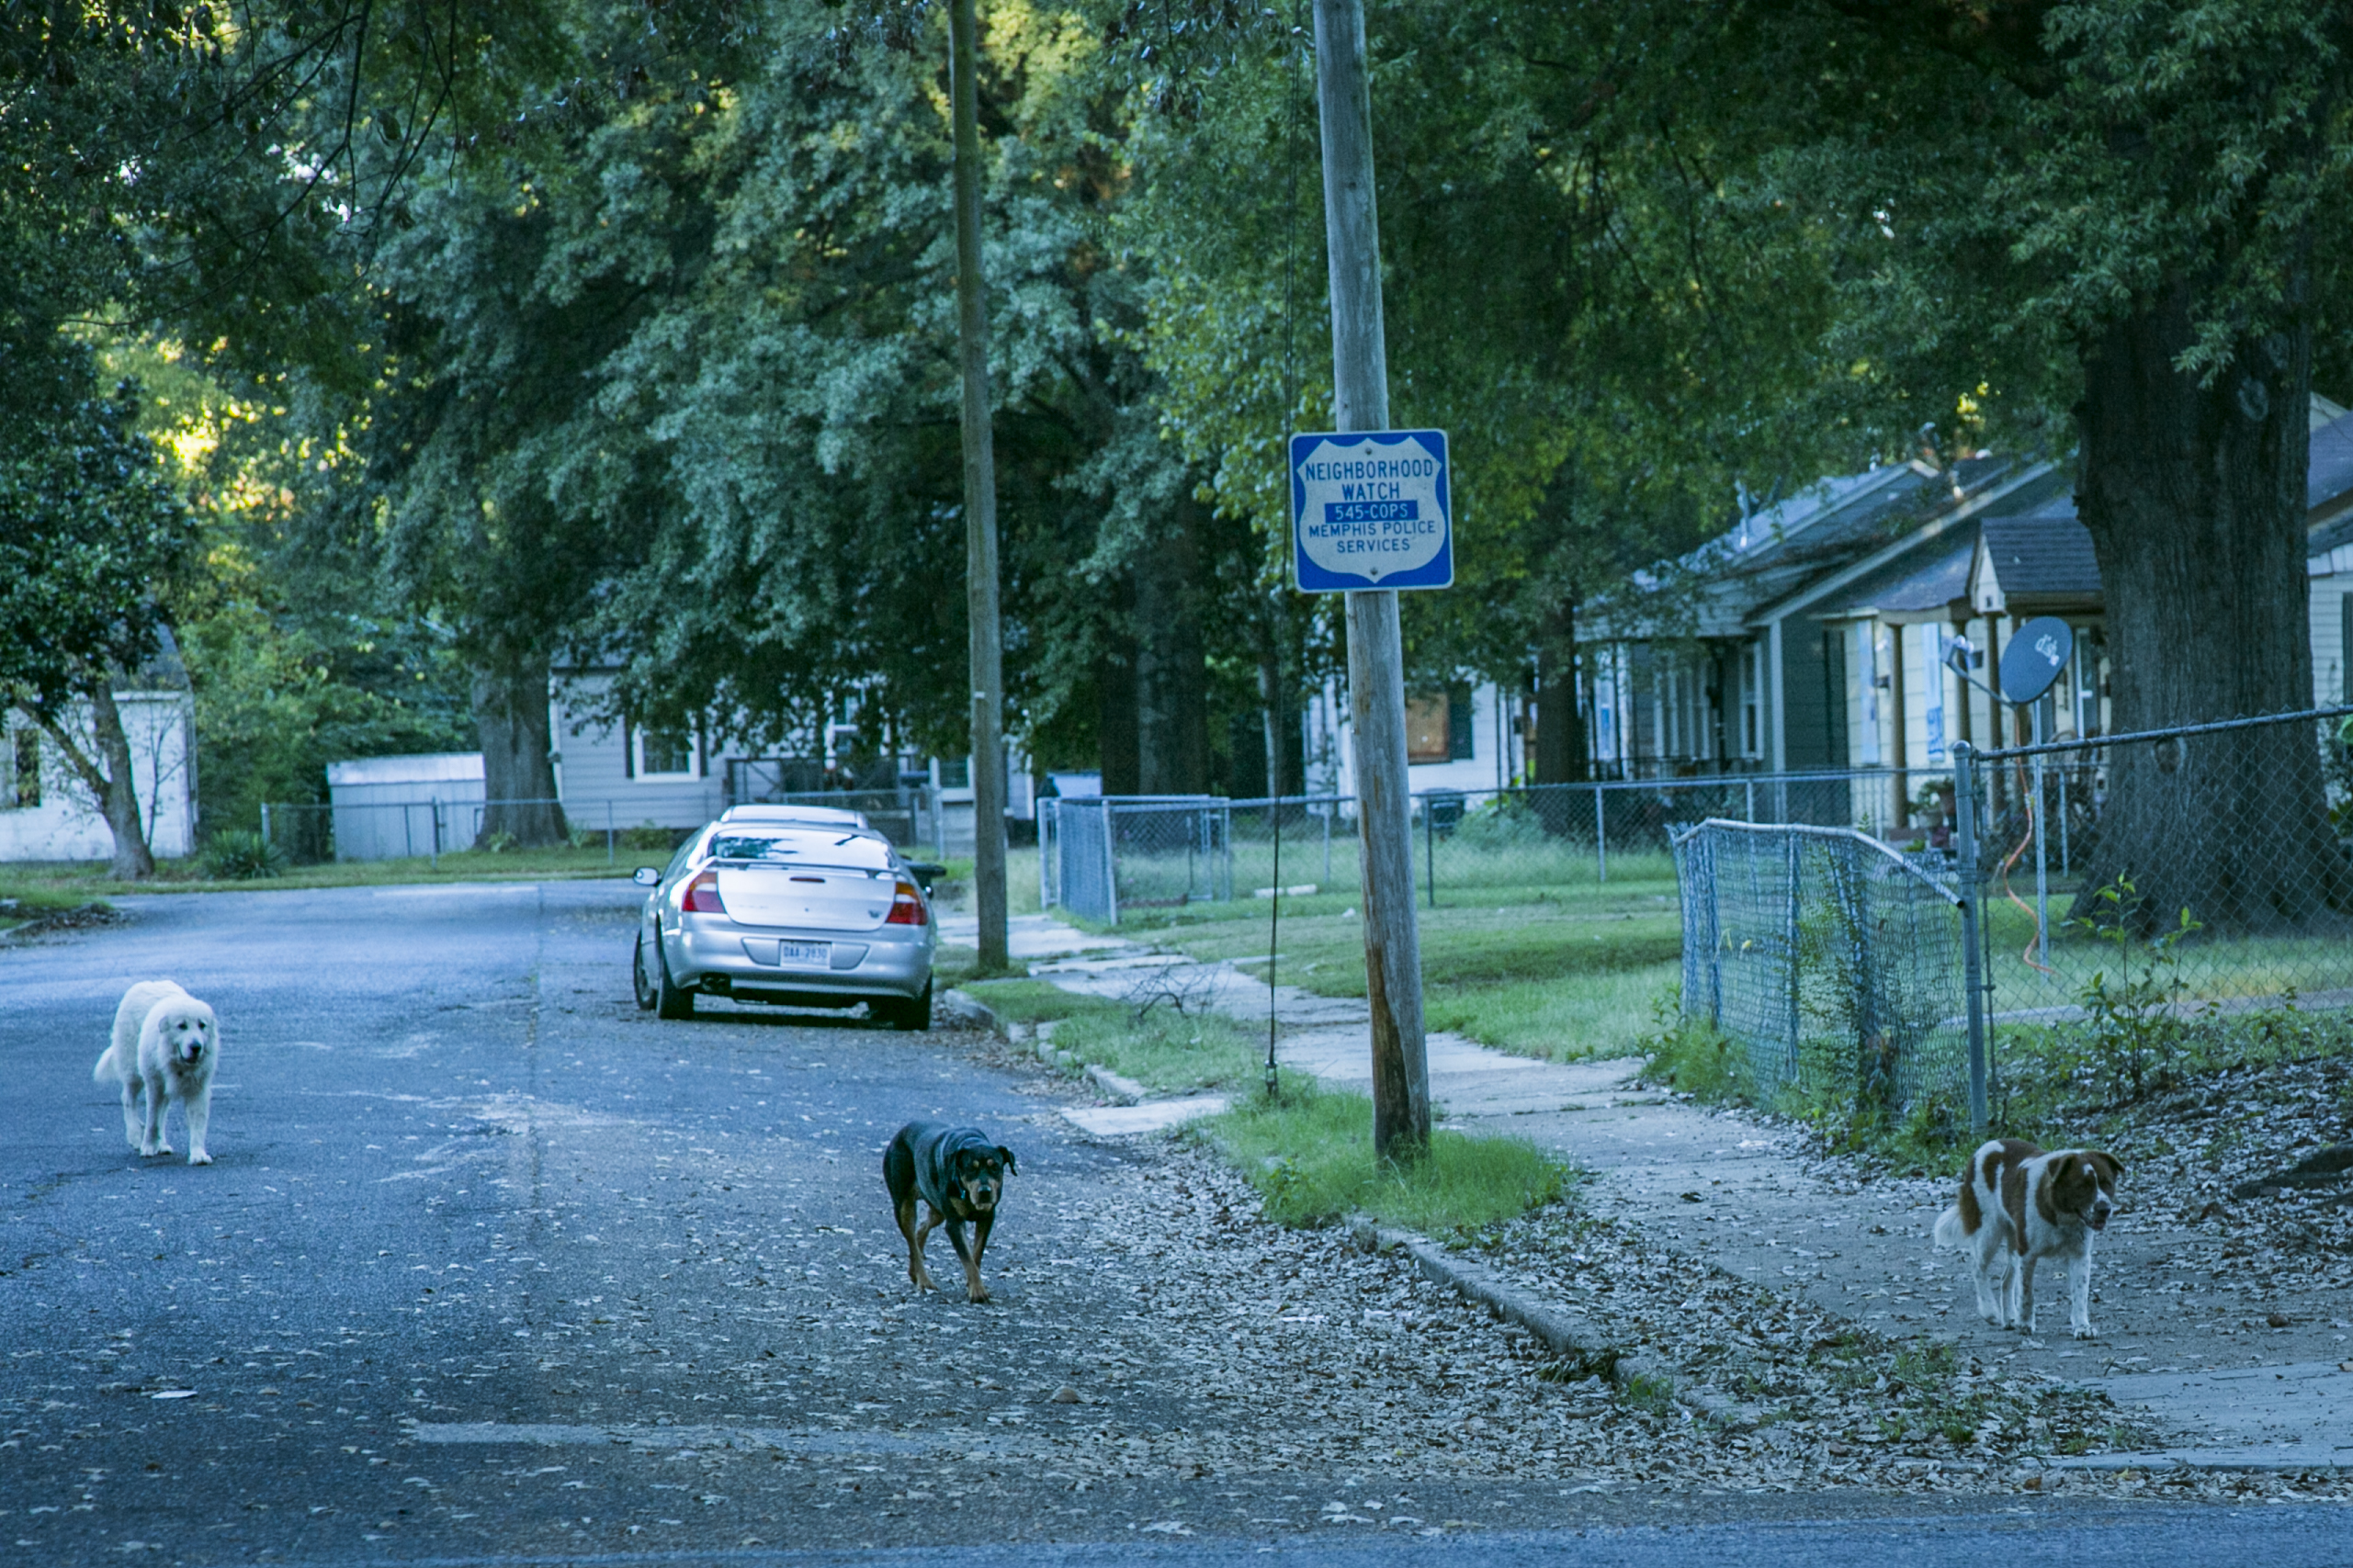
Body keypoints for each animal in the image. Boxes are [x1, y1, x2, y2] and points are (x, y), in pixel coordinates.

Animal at [95, 982, 221, 1166]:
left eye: (201, 1025)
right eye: (182, 1026)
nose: (196, 1047)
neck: (177, 1061)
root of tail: (146, 983)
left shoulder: (198, 1090)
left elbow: (198, 1124)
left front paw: (198, 1154)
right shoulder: (154, 1085)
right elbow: (152, 1120)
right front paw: (147, 1147)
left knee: (162, 1113)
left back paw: (161, 1144)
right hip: (133, 1072)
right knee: (128, 1099)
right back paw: (135, 1136)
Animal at [884, 1123, 1016, 1306]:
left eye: (995, 1167)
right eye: (971, 1168)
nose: (984, 1192)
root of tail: (898, 1135)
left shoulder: (987, 1218)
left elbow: (976, 1255)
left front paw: (971, 1285)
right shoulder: (954, 1223)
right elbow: (967, 1258)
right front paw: (978, 1292)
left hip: (936, 1207)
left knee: (922, 1229)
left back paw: (913, 1271)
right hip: (903, 1204)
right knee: (911, 1241)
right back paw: (924, 1281)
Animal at [1939, 1142, 2127, 1335]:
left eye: (2107, 1183)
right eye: (2082, 1186)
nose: (2104, 1209)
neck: (2061, 1215)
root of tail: (1984, 1148)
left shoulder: (2079, 1256)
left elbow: (2080, 1294)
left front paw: (2082, 1327)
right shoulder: (2027, 1255)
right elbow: (2027, 1293)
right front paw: (2025, 1324)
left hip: (2012, 1242)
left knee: (2005, 1279)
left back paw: (2010, 1318)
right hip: (1989, 1232)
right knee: (1978, 1268)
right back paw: (1989, 1311)